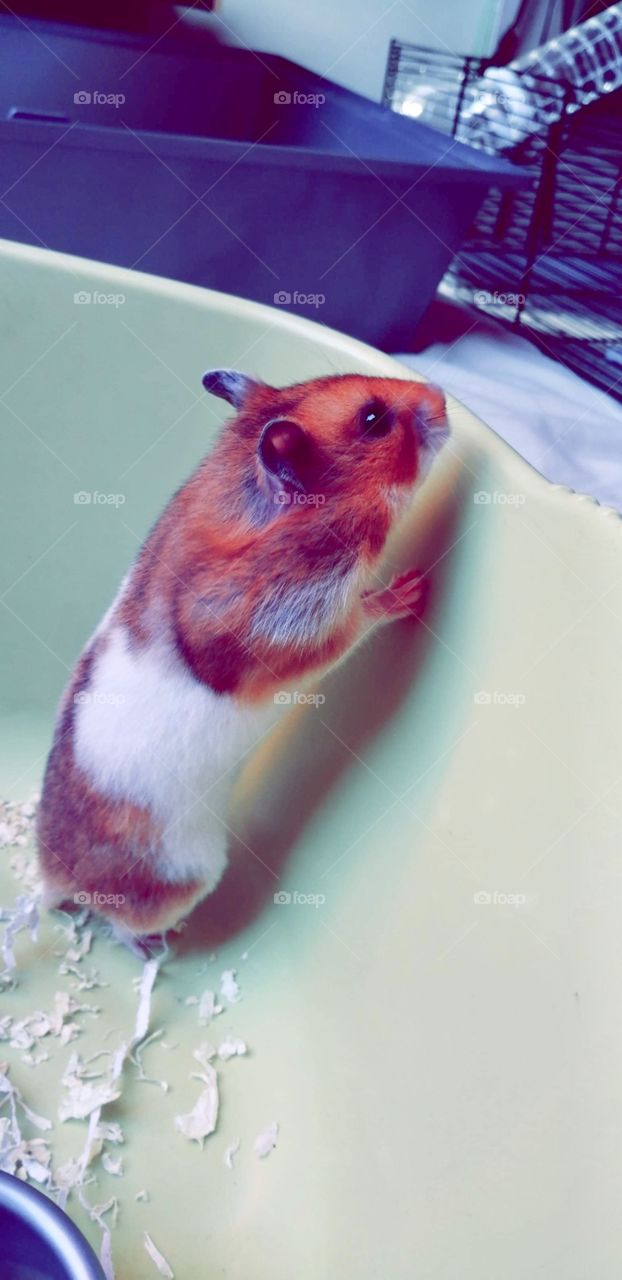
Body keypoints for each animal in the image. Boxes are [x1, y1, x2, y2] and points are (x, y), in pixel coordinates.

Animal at [37, 370, 448, 948]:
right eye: (373, 420)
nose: (444, 398)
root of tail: (52, 877)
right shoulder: (302, 616)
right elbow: (358, 618)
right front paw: (413, 590)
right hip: (186, 873)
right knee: (119, 924)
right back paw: (157, 946)